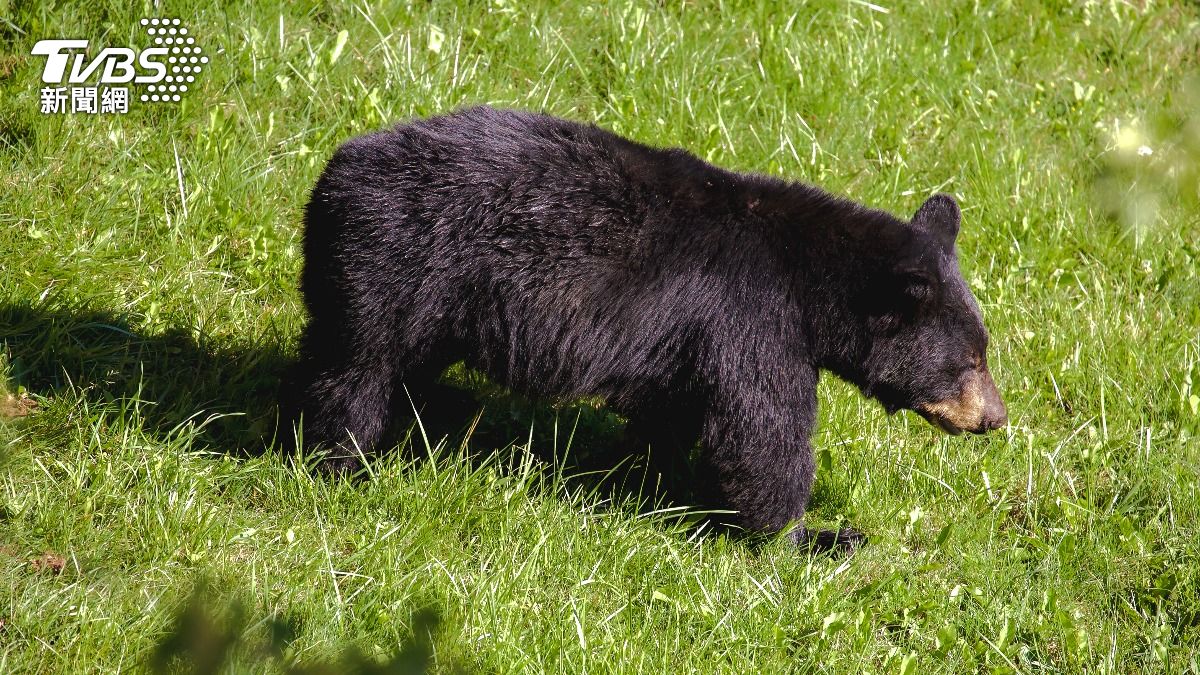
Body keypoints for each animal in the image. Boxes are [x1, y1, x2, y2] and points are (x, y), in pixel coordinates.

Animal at [284, 105, 1007, 553]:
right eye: (969, 360)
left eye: (983, 348)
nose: (996, 418)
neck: (811, 276)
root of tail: (334, 169)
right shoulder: (753, 318)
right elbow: (761, 432)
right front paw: (812, 536)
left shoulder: (687, 340)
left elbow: (675, 412)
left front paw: (644, 477)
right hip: (393, 263)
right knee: (354, 369)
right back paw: (341, 463)